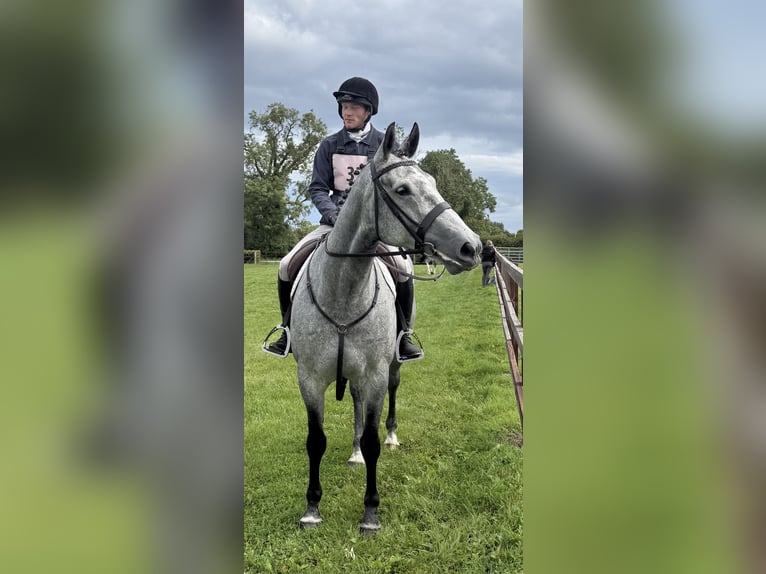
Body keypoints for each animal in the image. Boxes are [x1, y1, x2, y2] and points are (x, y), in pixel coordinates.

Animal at [288, 121, 481, 534]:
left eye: (433, 182)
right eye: (403, 189)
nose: (471, 247)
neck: (343, 290)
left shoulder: (375, 374)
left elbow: (374, 439)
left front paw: (370, 513)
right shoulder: (309, 378)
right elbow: (316, 440)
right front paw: (312, 507)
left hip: (390, 364)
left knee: (390, 396)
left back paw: (390, 436)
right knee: (356, 406)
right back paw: (354, 453)